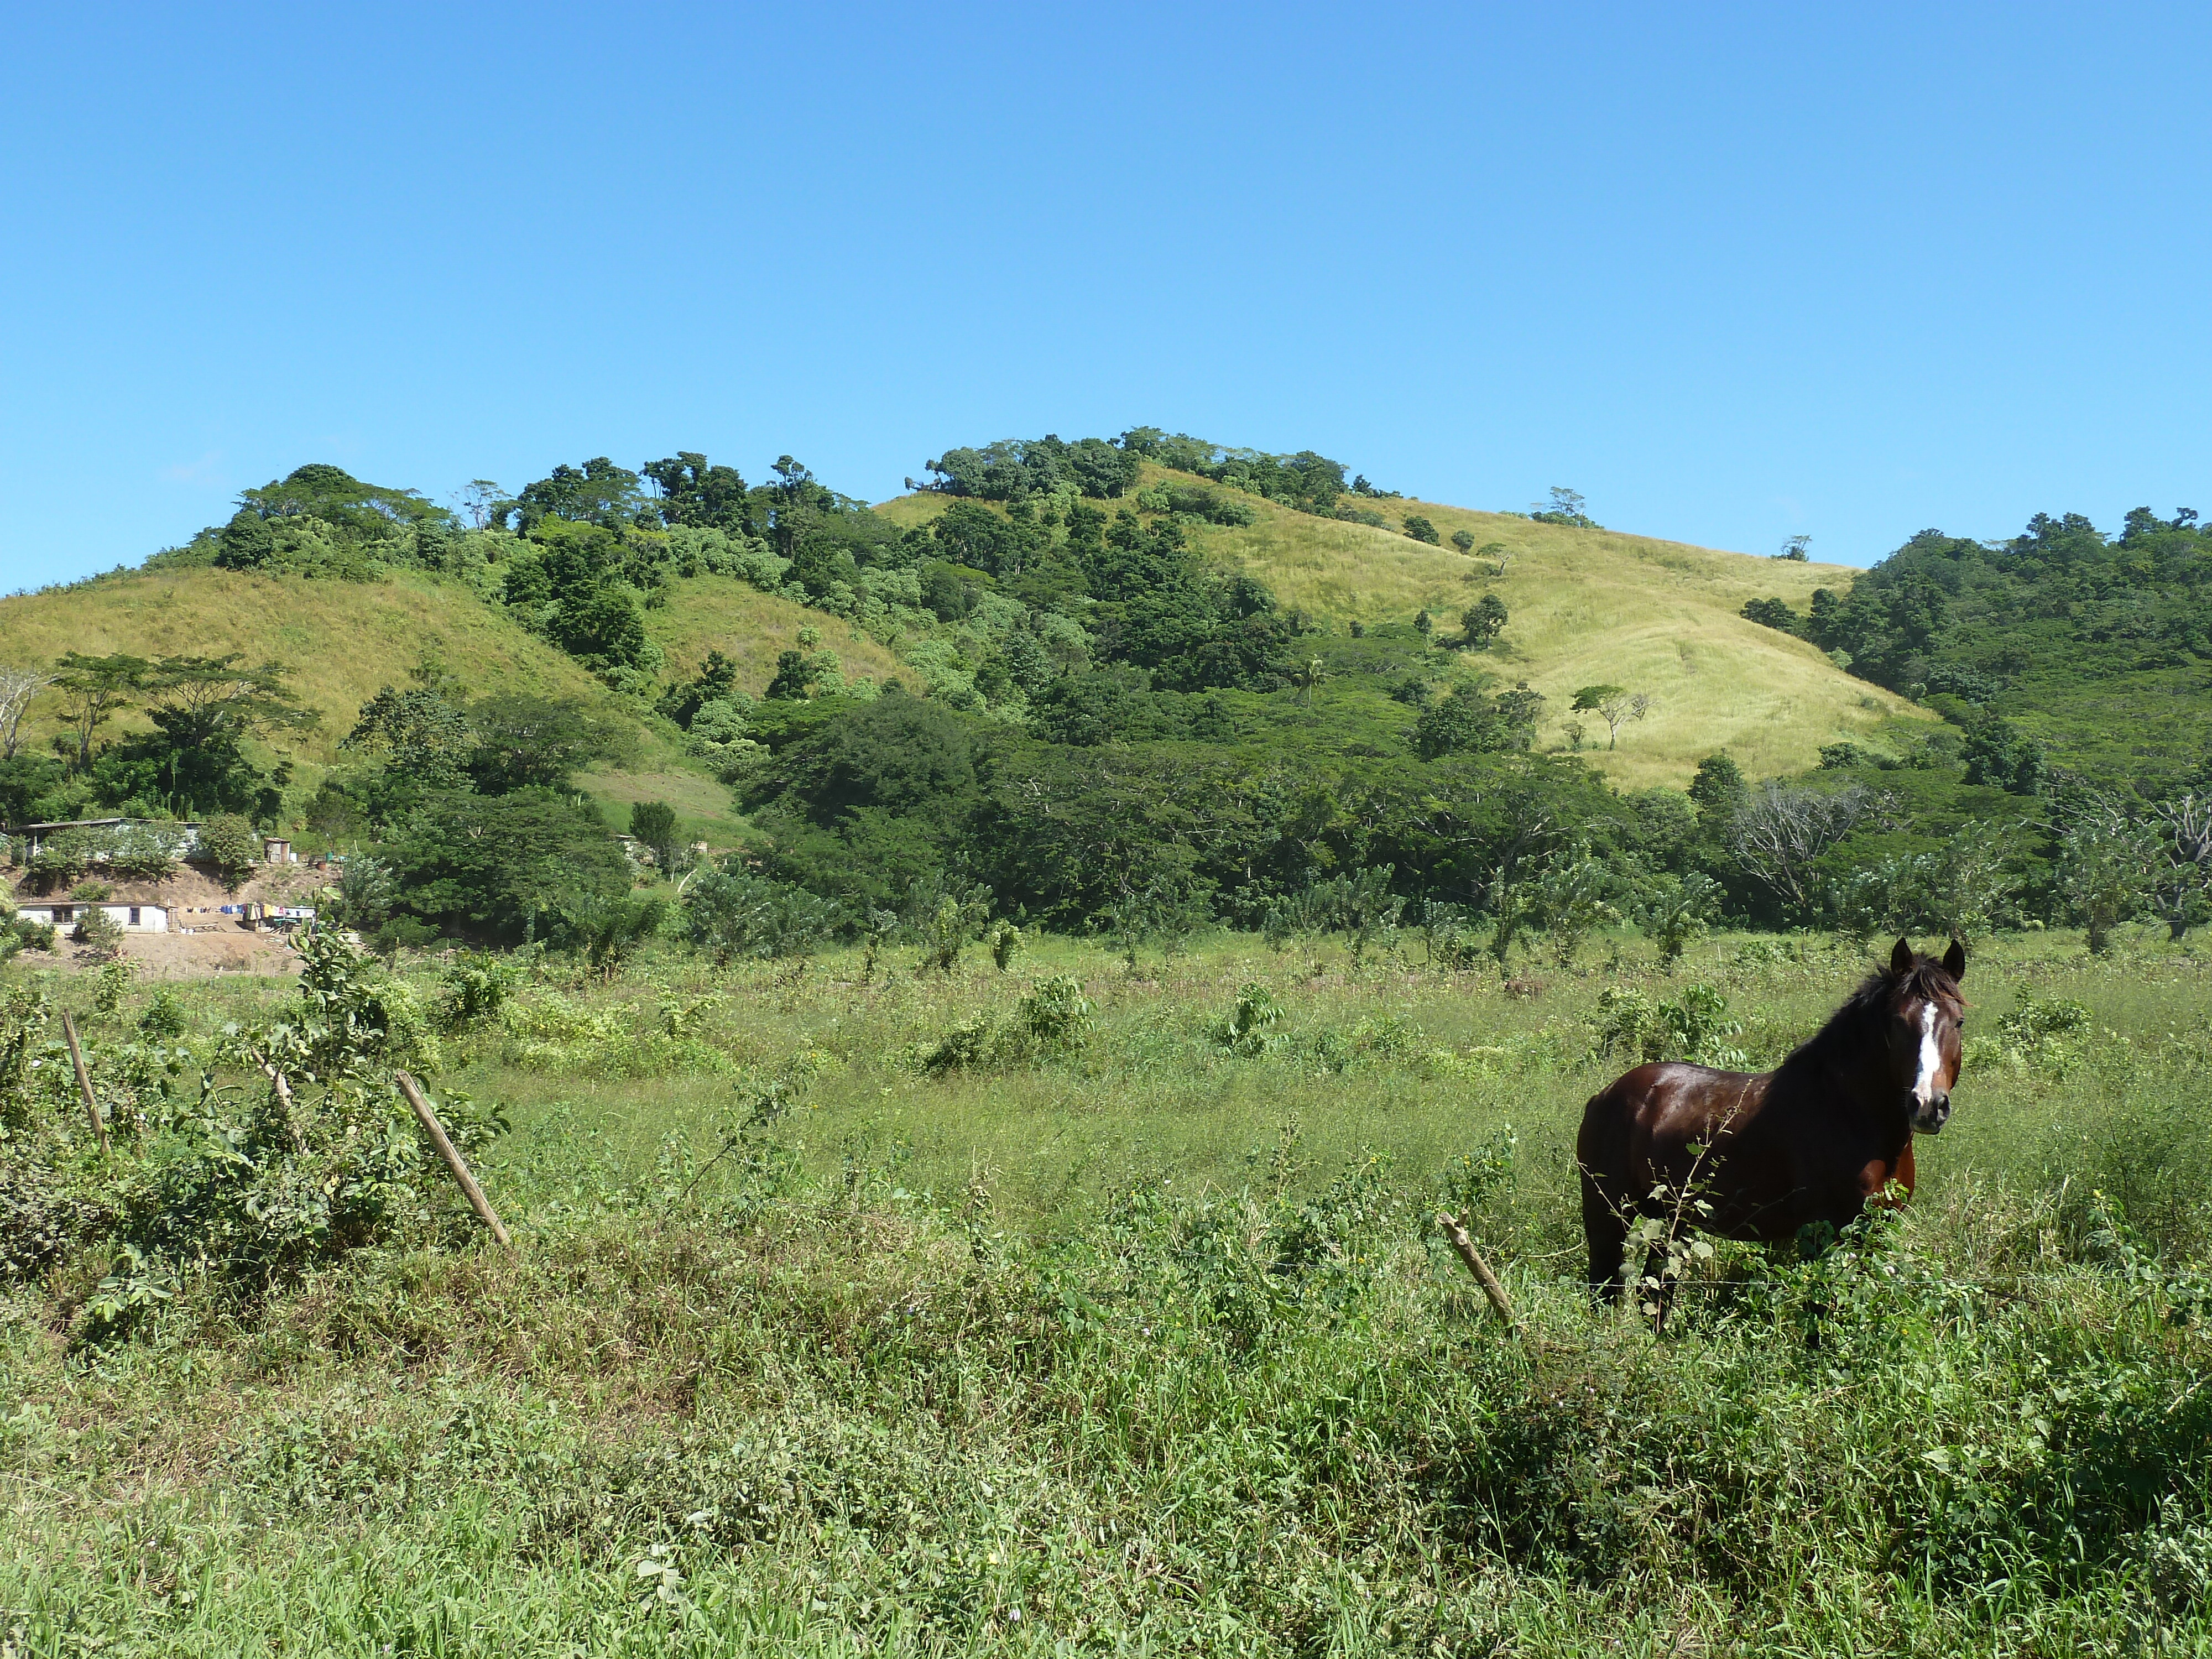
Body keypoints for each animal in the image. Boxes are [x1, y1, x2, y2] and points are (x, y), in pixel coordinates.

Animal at [1575, 942, 1973, 1310]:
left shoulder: (1875, 1231)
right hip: (1609, 1216)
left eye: (1958, 1021)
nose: (1928, 1105)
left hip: (1671, 1222)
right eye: (1897, 1021)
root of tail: (1605, 1096)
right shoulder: (1824, 1233)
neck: (1847, 1113)